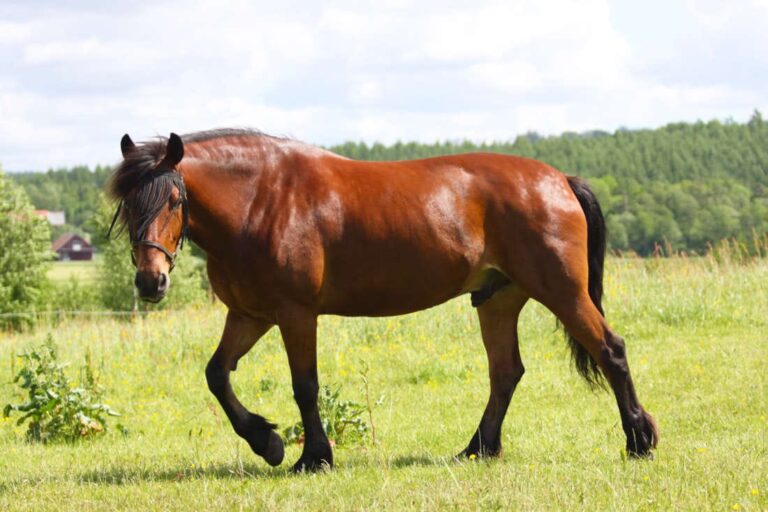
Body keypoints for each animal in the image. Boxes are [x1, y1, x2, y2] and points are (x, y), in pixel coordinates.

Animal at [109, 128, 658, 472]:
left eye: (174, 200)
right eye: (127, 206)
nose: (150, 282)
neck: (261, 200)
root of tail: (560, 179)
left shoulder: (295, 314)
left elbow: (305, 386)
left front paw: (313, 457)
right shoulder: (249, 315)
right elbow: (217, 375)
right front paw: (267, 442)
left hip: (562, 291)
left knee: (610, 350)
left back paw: (640, 440)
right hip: (498, 301)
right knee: (506, 372)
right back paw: (478, 449)